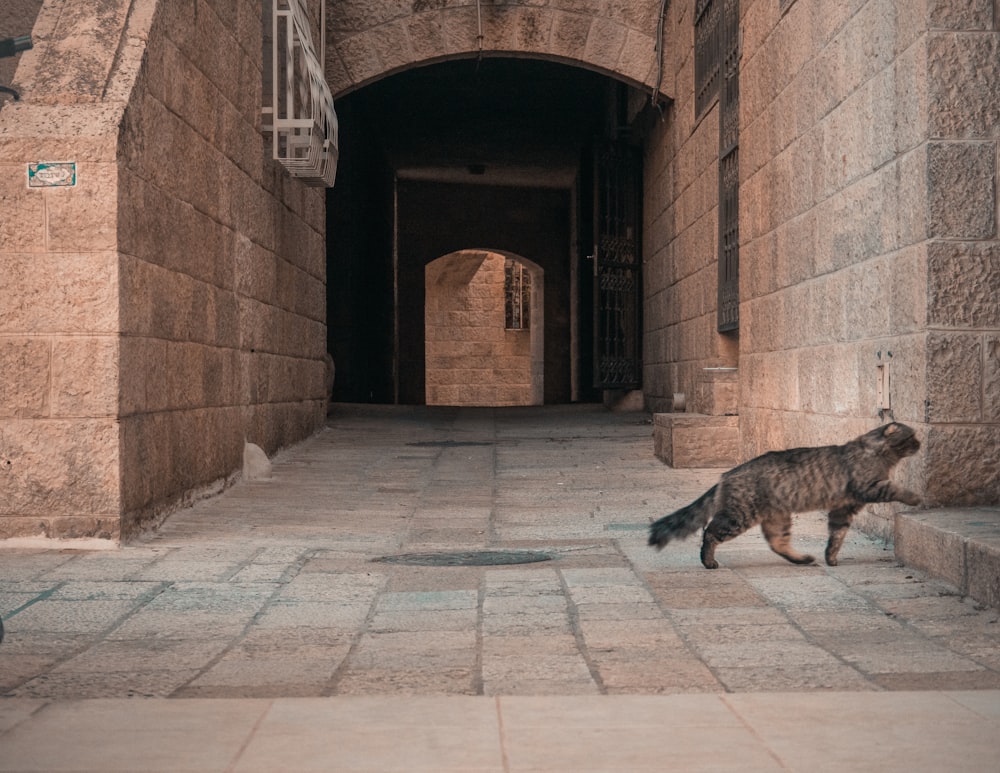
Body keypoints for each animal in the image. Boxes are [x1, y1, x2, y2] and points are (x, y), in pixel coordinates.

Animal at [648, 422, 920, 568]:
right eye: (912, 437)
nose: (920, 444)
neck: (879, 454)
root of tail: (726, 474)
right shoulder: (869, 486)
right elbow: (896, 489)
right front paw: (916, 497)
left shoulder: (843, 509)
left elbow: (836, 537)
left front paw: (830, 558)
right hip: (739, 516)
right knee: (710, 532)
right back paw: (708, 561)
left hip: (776, 518)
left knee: (778, 544)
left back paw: (803, 559)